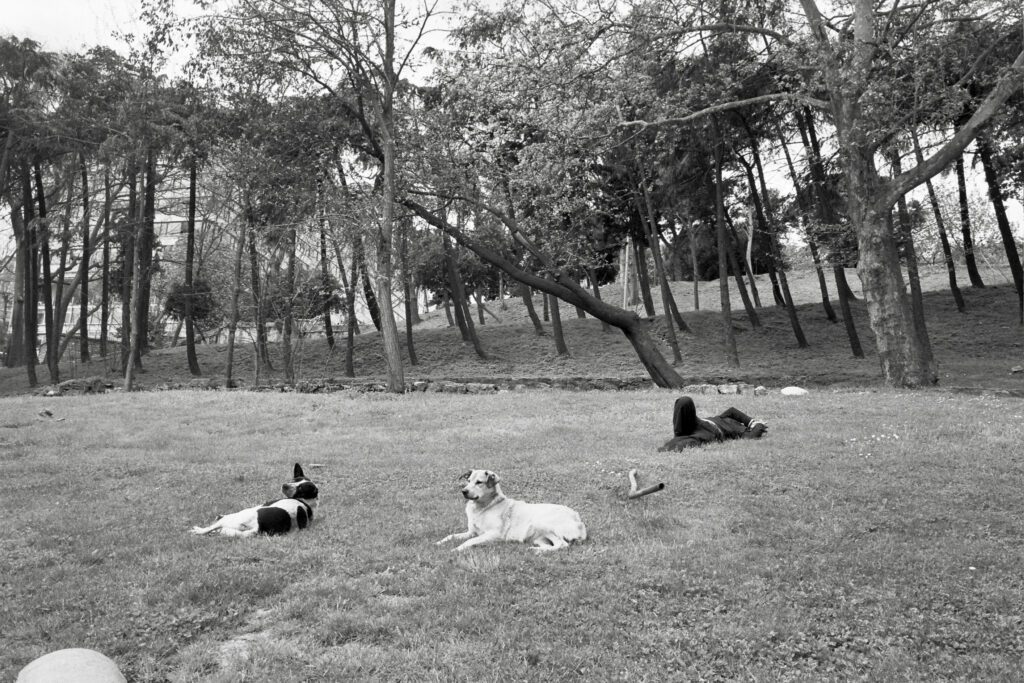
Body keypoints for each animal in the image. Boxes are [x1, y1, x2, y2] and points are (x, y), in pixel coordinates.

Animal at [436, 466, 589, 552]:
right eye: (468, 481)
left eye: (479, 482)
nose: (463, 491)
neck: (484, 507)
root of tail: (578, 518)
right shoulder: (471, 532)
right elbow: (452, 535)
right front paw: (439, 543)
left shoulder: (494, 534)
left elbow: (469, 541)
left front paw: (457, 549)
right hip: (538, 536)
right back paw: (534, 549)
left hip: (540, 522)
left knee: (562, 545)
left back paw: (538, 551)